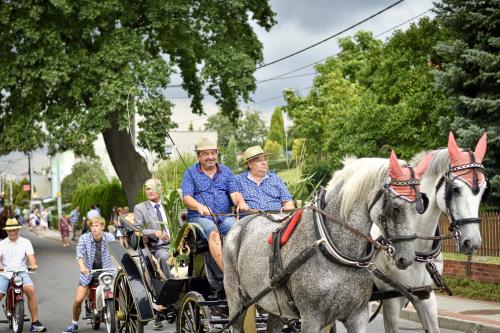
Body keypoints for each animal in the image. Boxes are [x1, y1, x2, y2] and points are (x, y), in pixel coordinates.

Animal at [225, 151, 432, 332]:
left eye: (419, 206)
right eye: (395, 207)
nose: (406, 258)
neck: (335, 250)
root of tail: (243, 222)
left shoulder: (357, 316)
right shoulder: (311, 319)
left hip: (274, 304)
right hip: (236, 300)